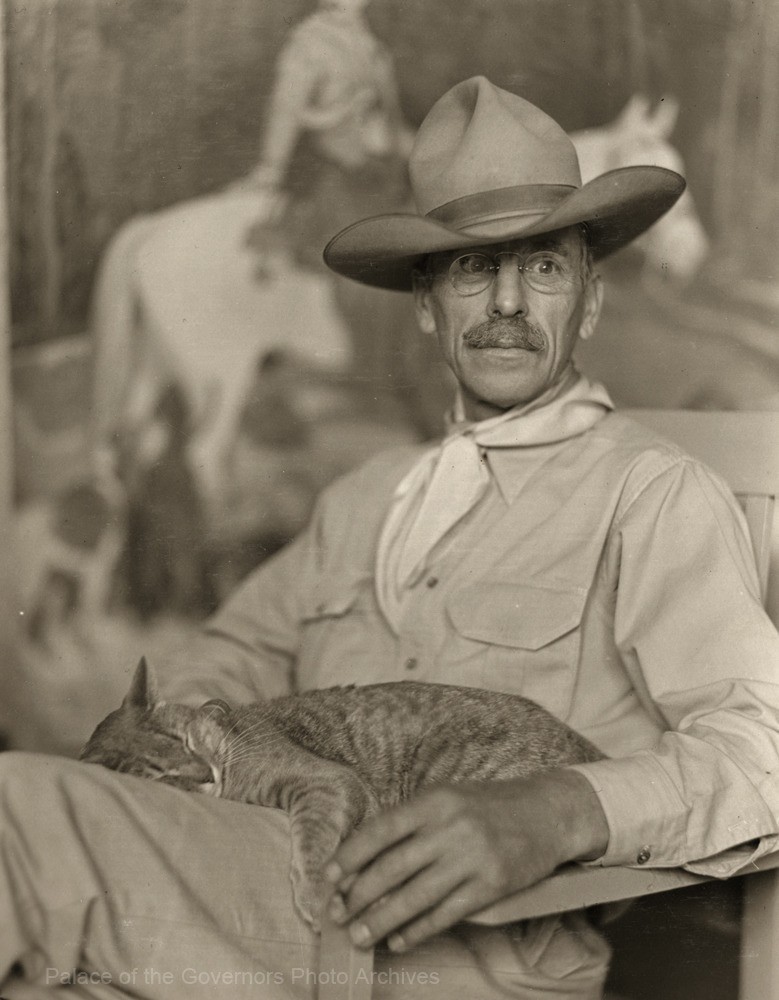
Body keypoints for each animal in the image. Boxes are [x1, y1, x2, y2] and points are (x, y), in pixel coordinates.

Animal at [80, 656, 604, 928]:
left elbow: (312, 839)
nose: (205, 774)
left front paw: (315, 896)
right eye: (164, 775)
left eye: (185, 741)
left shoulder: (328, 783)